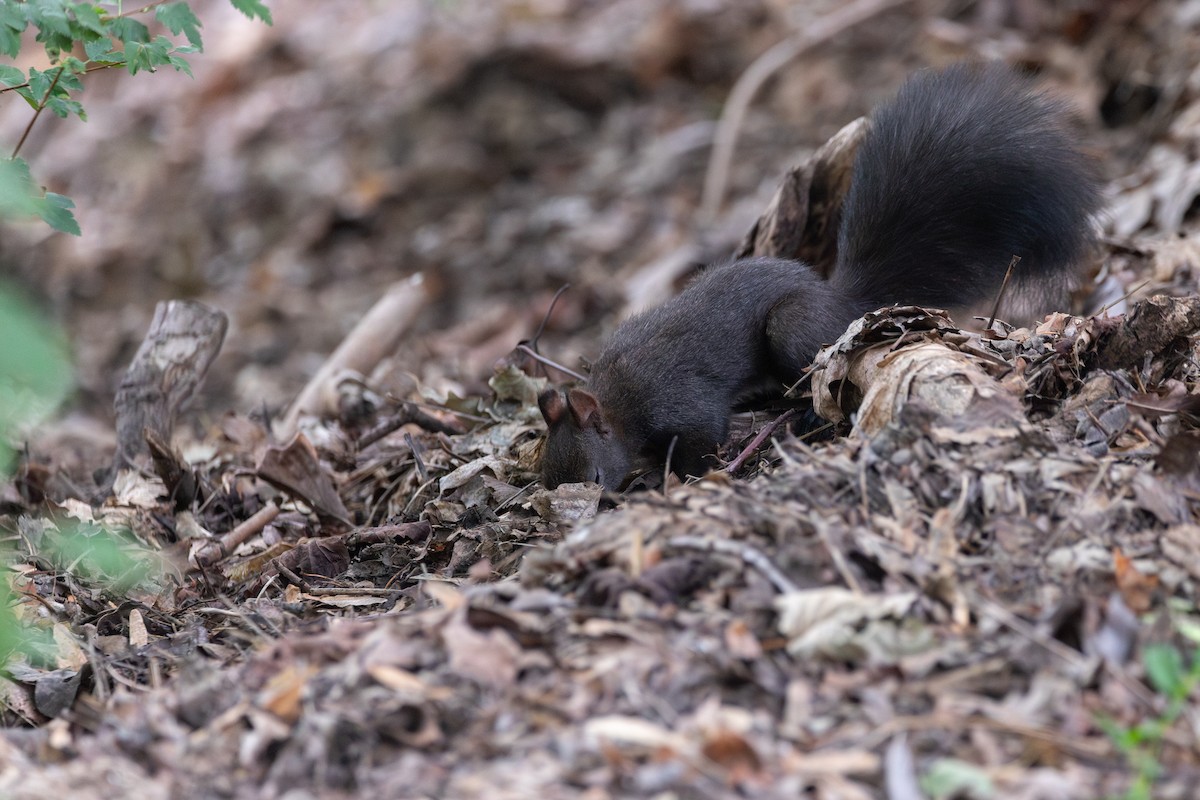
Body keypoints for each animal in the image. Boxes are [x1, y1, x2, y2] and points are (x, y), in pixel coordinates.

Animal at [538, 63, 1102, 491]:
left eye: (592, 475)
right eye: (546, 475)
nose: (574, 511)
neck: (617, 399)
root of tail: (839, 298)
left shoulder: (679, 402)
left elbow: (701, 439)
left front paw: (675, 479)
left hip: (791, 329)